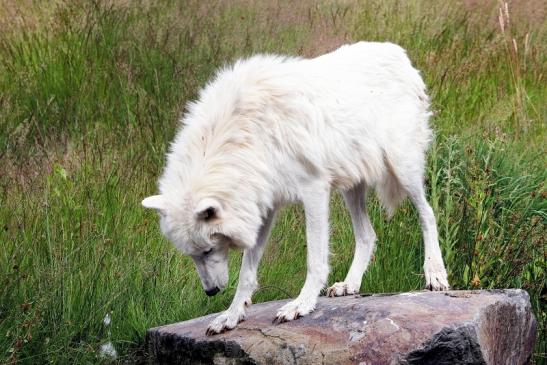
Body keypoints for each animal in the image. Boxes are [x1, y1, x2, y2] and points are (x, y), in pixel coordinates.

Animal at [142, 41, 450, 334]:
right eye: (193, 255)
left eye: (208, 250)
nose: (210, 292)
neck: (245, 135)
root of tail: (398, 53)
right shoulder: (264, 206)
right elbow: (246, 272)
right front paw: (231, 316)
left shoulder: (313, 190)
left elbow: (314, 259)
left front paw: (301, 305)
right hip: (351, 186)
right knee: (368, 235)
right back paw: (349, 285)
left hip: (403, 167)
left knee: (428, 214)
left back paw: (435, 274)